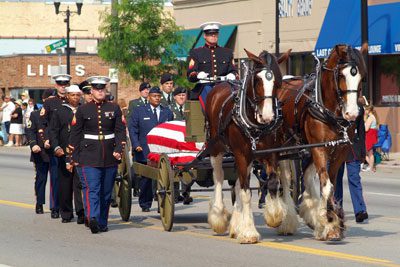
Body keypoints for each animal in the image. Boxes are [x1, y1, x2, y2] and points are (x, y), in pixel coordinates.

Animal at [205, 49, 290, 244]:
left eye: (278, 81)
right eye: (257, 80)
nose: (268, 116)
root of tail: (221, 84)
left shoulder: (270, 153)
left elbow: (272, 183)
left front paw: (275, 216)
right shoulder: (241, 154)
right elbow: (245, 193)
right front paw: (249, 232)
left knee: (237, 182)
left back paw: (236, 224)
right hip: (216, 148)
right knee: (219, 177)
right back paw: (219, 216)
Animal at [276, 44, 368, 241]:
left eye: (362, 77)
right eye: (341, 75)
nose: (352, 114)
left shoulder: (339, 150)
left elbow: (331, 184)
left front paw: (331, 221)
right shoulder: (319, 148)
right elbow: (327, 187)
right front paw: (331, 224)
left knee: (306, 175)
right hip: (281, 146)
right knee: (285, 179)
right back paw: (286, 220)